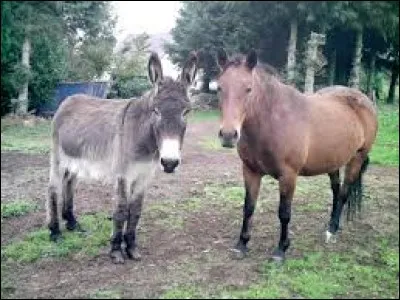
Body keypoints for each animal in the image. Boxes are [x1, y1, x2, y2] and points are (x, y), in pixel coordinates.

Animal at [216, 48, 378, 262]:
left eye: (248, 89)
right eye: (220, 88)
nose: (228, 135)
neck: (273, 121)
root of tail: (365, 101)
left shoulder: (288, 176)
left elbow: (284, 213)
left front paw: (281, 250)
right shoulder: (250, 171)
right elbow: (248, 207)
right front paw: (242, 244)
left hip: (356, 159)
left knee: (344, 193)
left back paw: (332, 230)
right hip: (333, 162)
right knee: (336, 191)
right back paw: (331, 225)